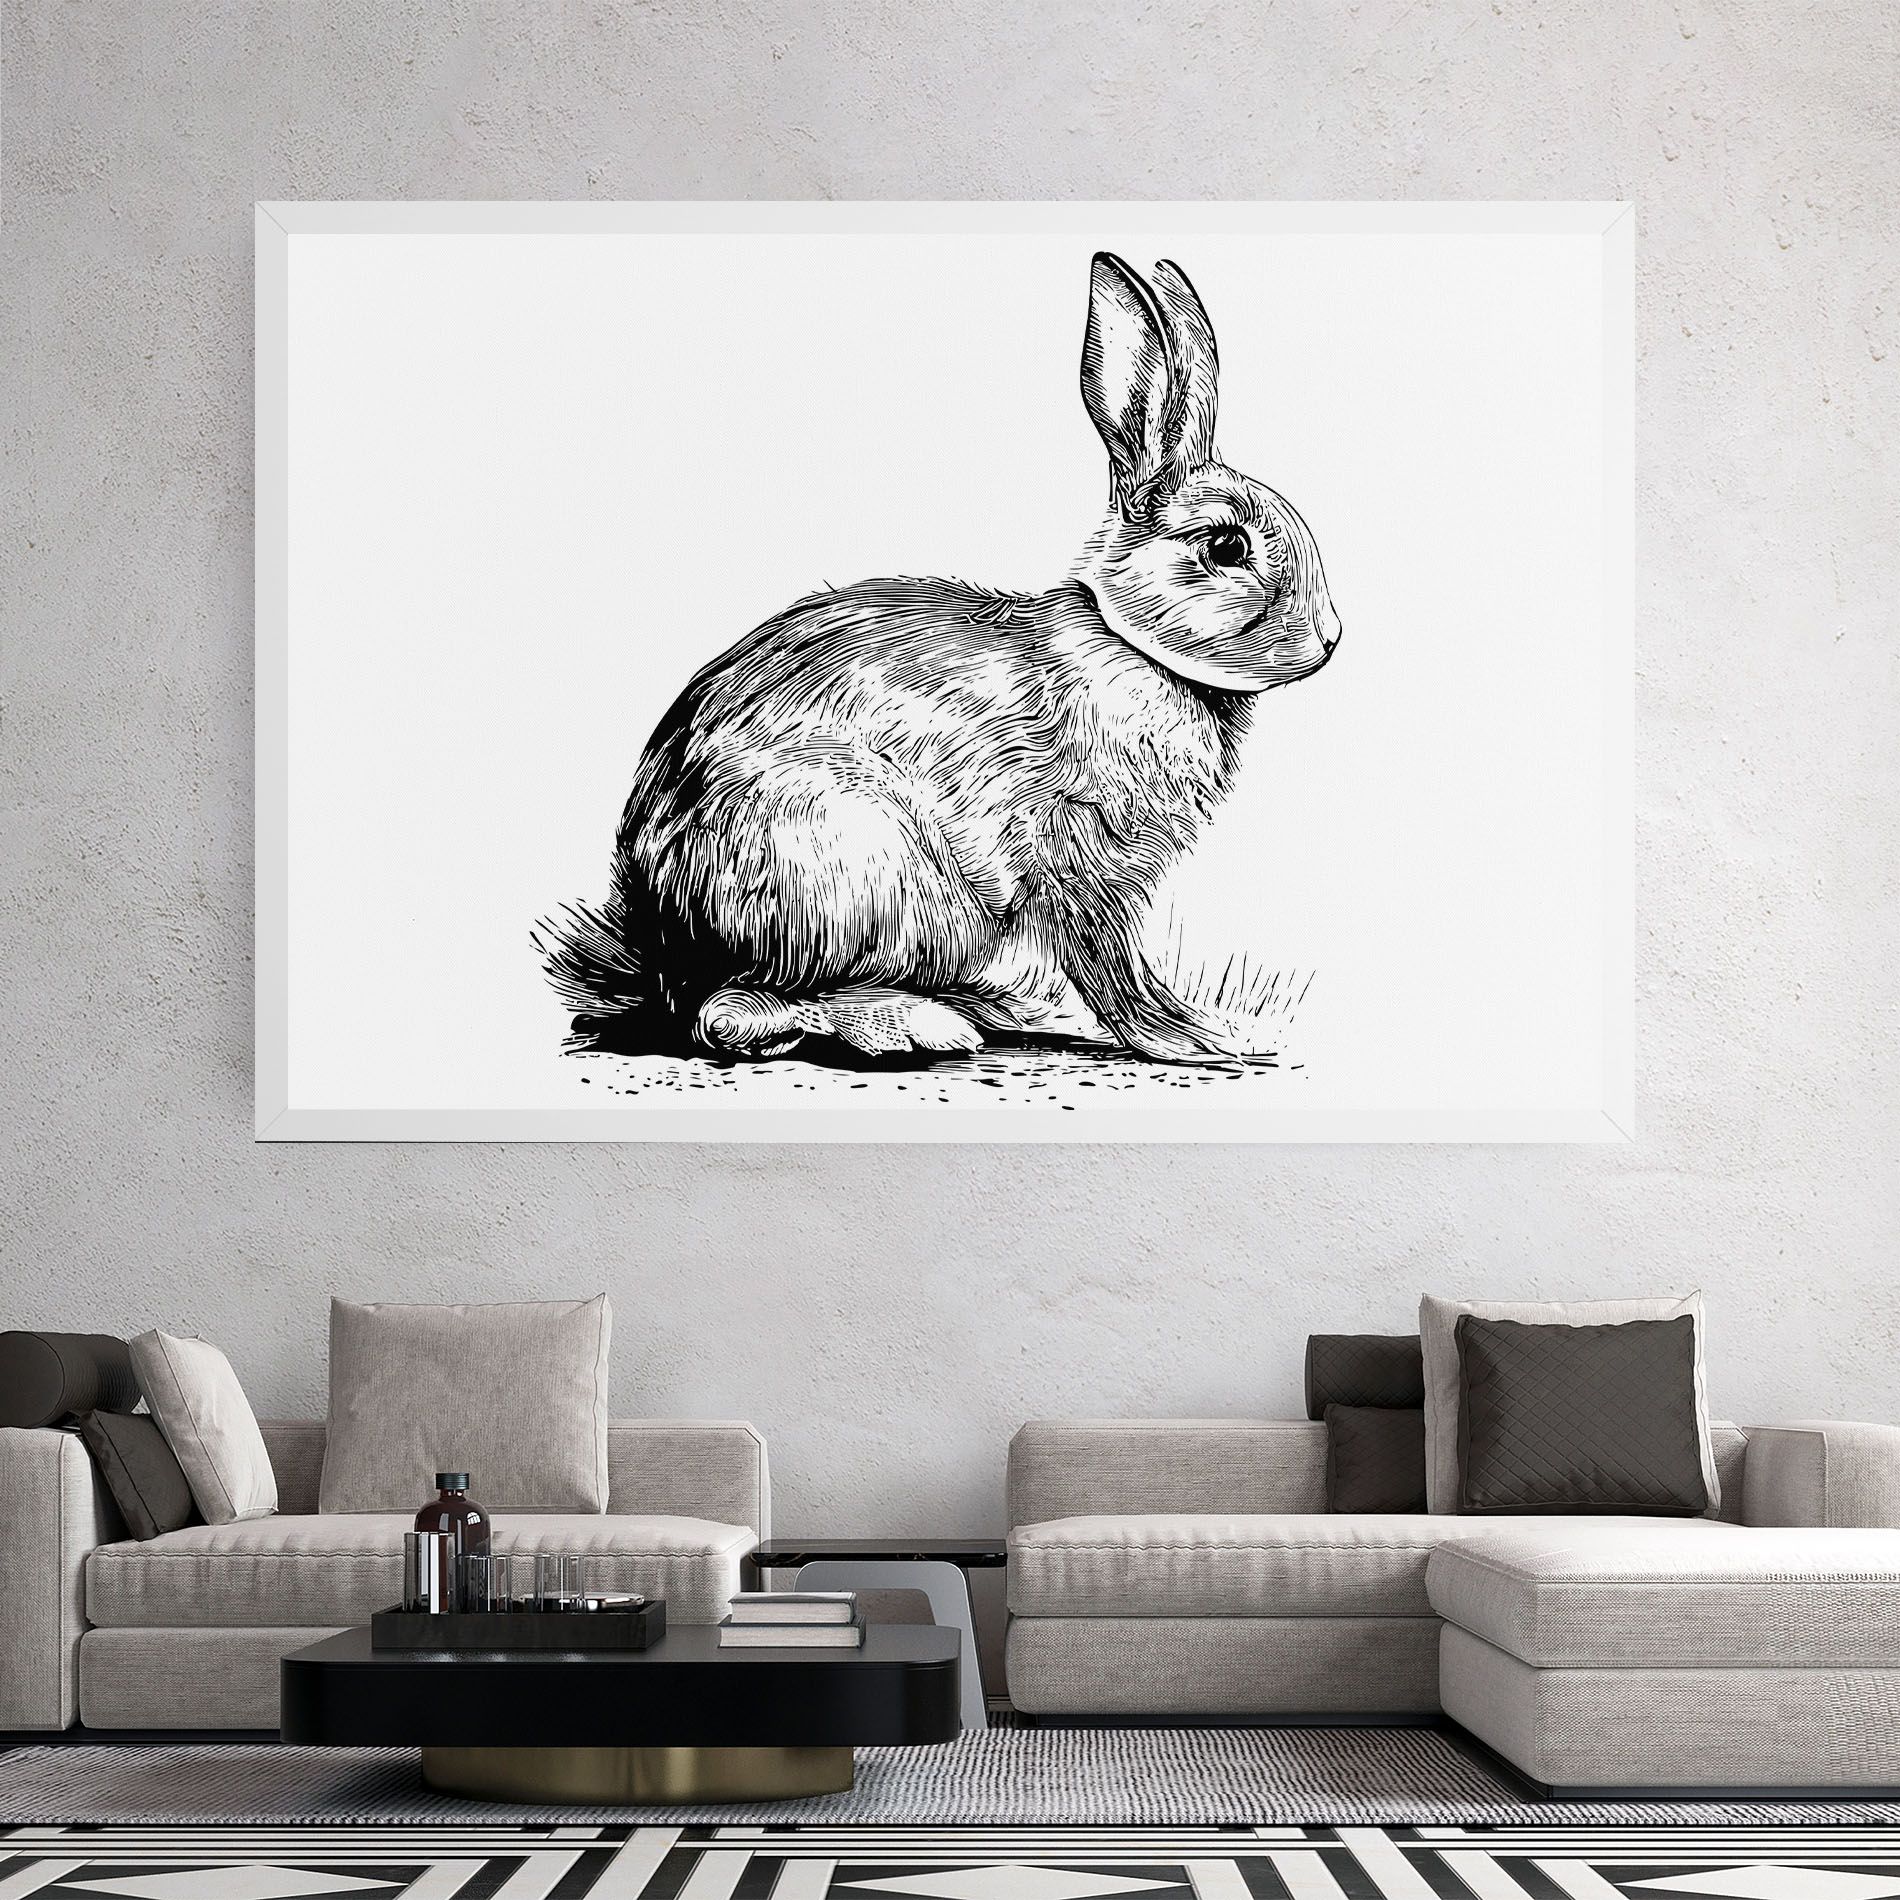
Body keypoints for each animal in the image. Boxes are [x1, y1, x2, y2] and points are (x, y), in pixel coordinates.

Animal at [537, 252, 1341, 1064]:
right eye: (1227, 547)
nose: (1331, 639)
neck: (1130, 644)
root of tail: (662, 936)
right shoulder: (1073, 856)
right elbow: (1113, 965)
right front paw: (1198, 1038)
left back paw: (995, 1008)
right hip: (855, 867)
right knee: (734, 1012)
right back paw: (918, 1025)